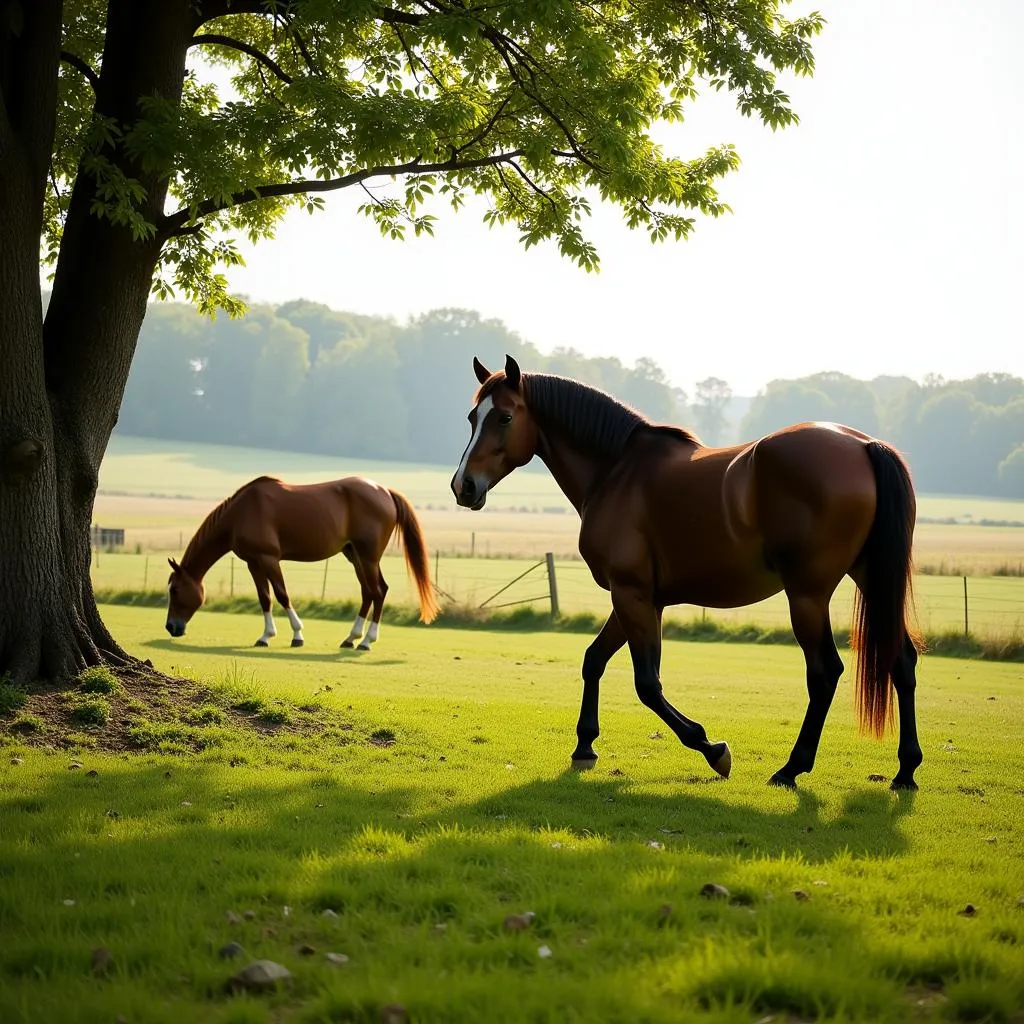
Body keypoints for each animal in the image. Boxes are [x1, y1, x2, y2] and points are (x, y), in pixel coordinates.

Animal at [165, 473, 438, 647]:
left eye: (175, 590)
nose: (171, 627)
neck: (241, 513)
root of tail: (385, 492)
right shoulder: (253, 562)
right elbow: (264, 598)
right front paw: (265, 636)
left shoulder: (269, 559)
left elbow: (282, 594)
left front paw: (297, 635)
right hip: (355, 555)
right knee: (369, 592)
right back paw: (351, 638)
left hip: (368, 557)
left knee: (378, 591)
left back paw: (367, 641)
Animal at [452, 358, 925, 790]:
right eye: (473, 417)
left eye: (504, 416)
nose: (463, 486)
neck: (617, 471)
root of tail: (864, 444)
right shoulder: (639, 598)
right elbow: (594, 660)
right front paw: (585, 745)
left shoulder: (631, 595)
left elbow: (647, 684)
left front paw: (712, 748)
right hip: (869, 580)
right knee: (901, 660)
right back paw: (905, 771)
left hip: (807, 595)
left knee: (824, 672)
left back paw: (792, 768)